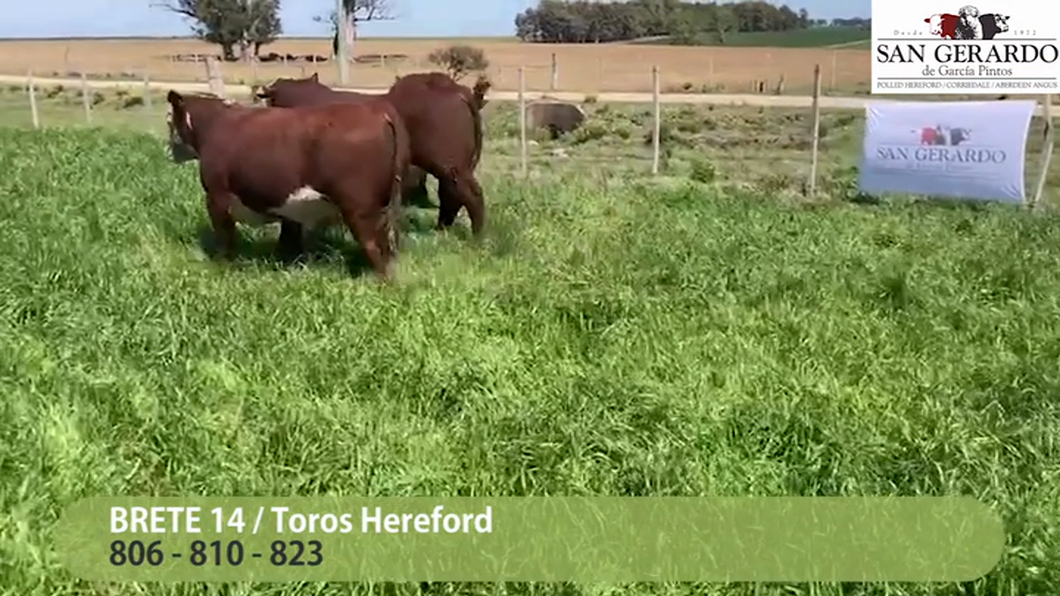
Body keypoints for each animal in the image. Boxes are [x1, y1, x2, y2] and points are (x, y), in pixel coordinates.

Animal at [165, 90, 409, 279]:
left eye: (169, 121)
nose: (168, 152)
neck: (215, 124)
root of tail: (376, 110)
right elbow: (288, 237)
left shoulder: (217, 196)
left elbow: (226, 237)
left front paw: (222, 266)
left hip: (359, 209)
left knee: (373, 246)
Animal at [256, 69, 491, 234]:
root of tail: (455, 89)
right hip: (452, 169)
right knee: (451, 195)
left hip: (448, 165)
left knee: (471, 195)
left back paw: (477, 237)